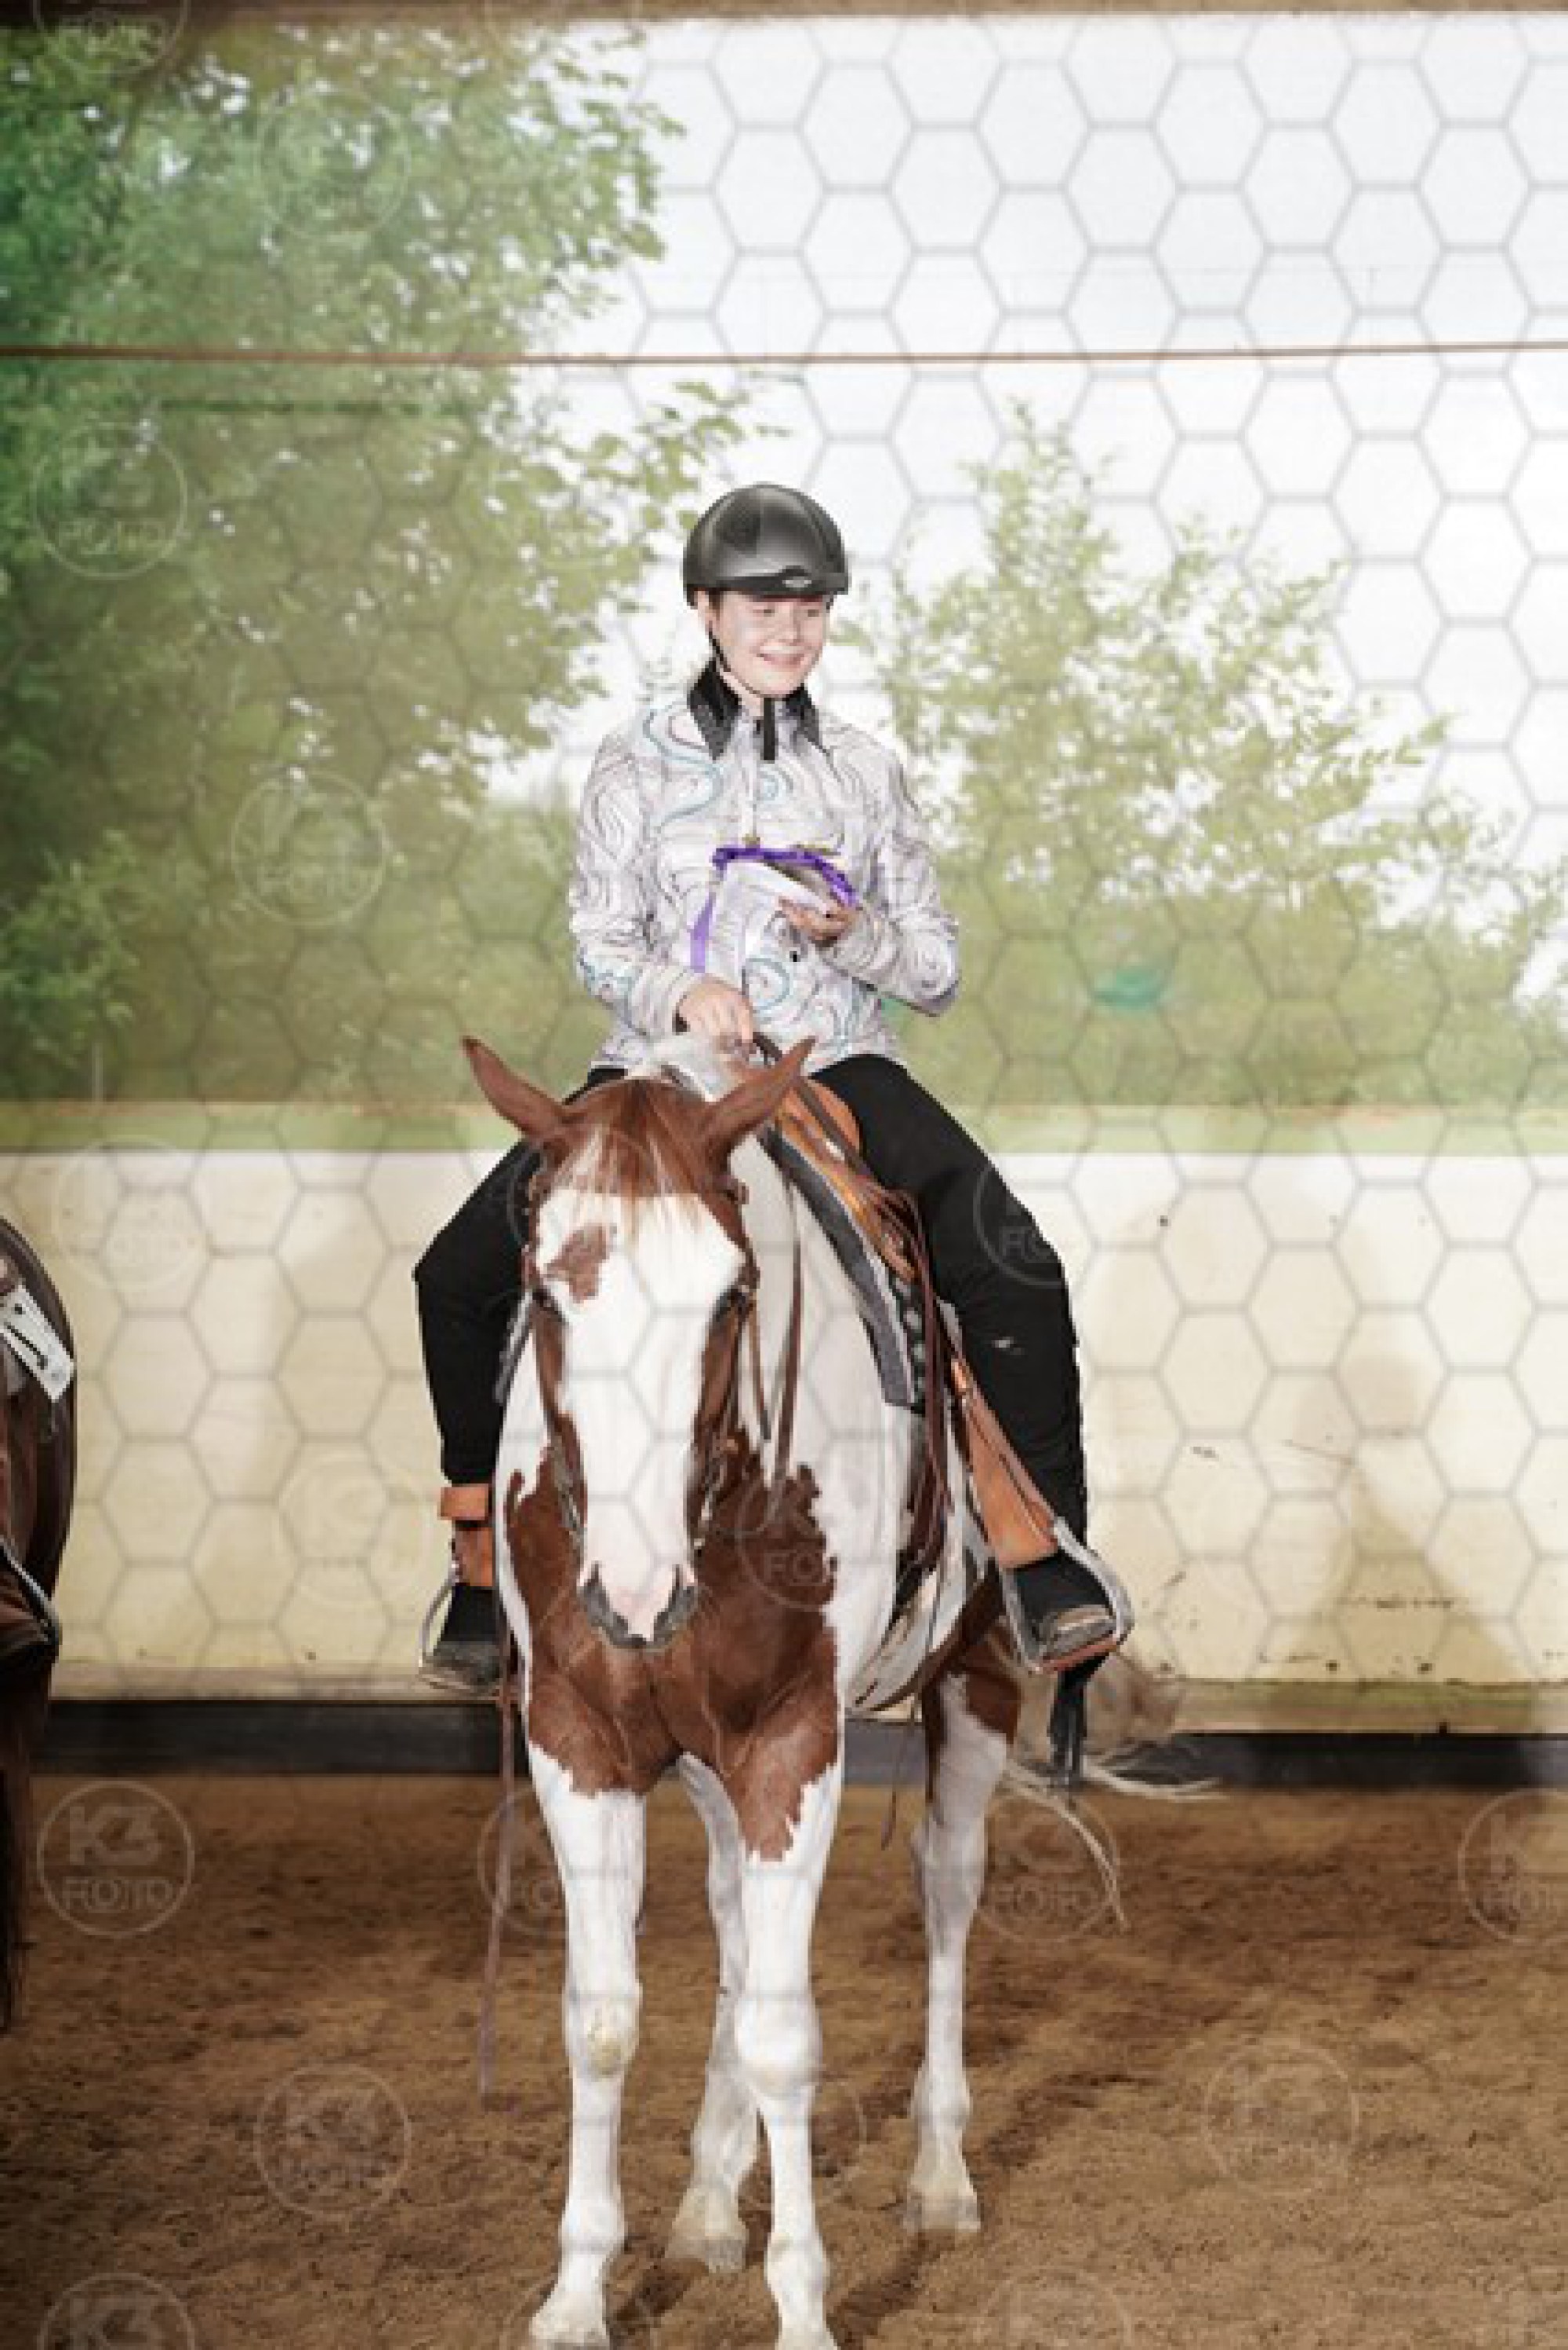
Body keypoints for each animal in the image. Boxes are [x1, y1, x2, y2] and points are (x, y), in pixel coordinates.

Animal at [468, 1030, 1115, 2350]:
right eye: (547, 1293)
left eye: (732, 1295)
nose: (635, 1592)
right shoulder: (576, 1736)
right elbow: (601, 2017)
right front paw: (576, 2293)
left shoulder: (792, 1740)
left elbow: (782, 2034)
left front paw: (806, 2304)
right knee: (728, 1915)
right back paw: (712, 2197)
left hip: (975, 1678)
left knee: (947, 1892)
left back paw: (938, 2177)